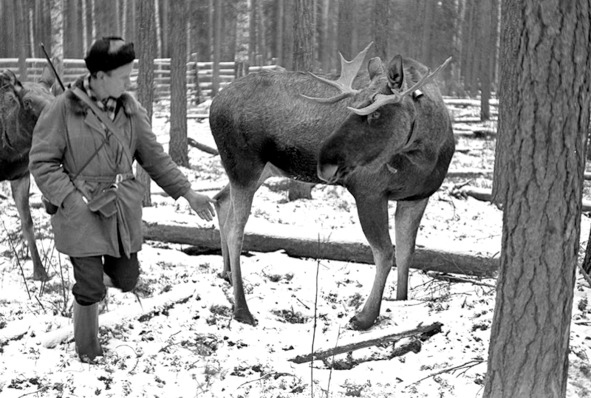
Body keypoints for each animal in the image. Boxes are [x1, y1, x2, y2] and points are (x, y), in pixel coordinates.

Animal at [210, 42, 456, 330]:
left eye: (376, 113)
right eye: (352, 107)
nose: (324, 163)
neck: (426, 155)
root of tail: (213, 104)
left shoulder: (417, 197)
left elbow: (407, 252)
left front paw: (400, 301)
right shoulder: (369, 191)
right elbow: (385, 252)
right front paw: (365, 316)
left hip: (260, 170)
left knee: (220, 201)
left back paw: (226, 274)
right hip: (245, 166)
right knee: (236, 230)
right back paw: (242, 310)